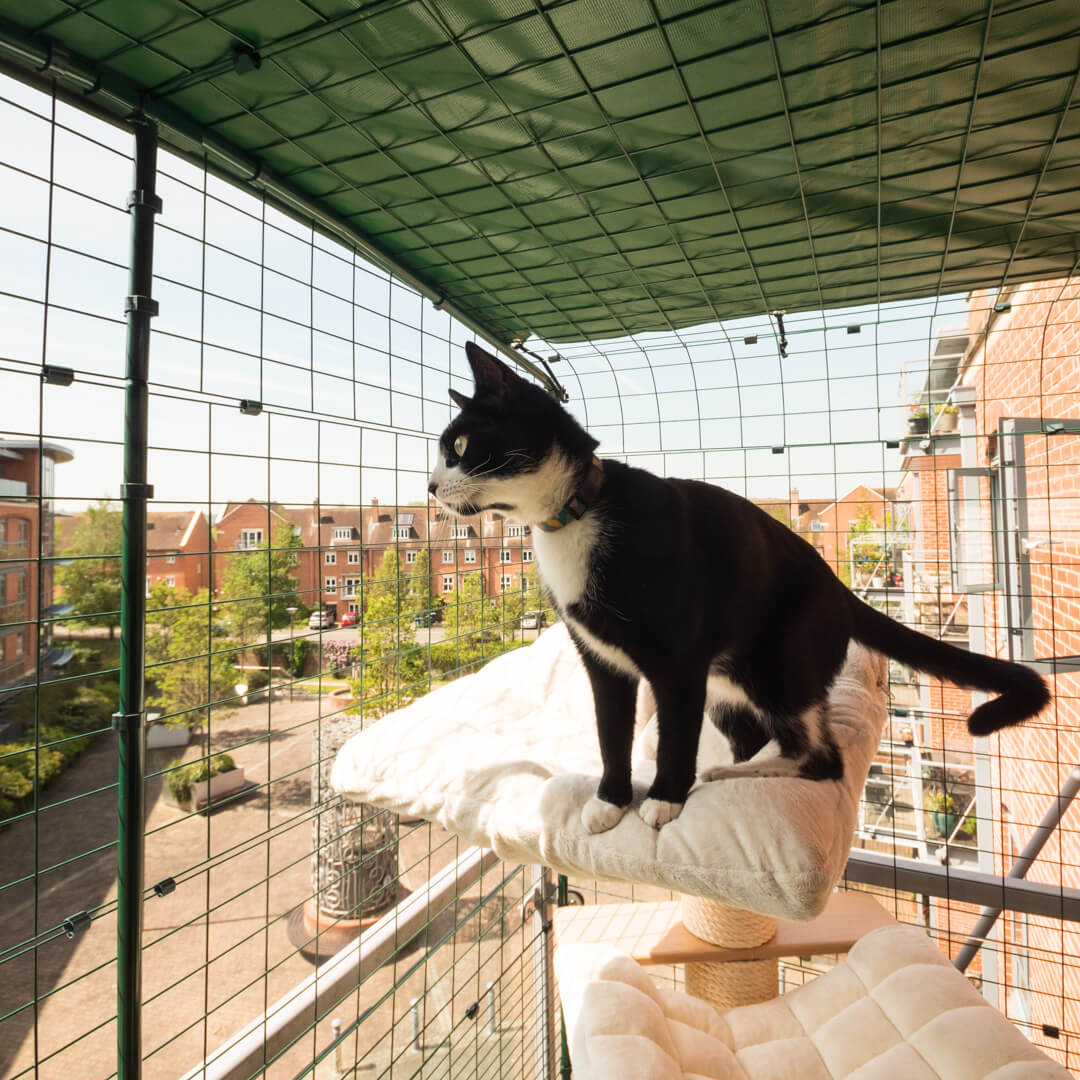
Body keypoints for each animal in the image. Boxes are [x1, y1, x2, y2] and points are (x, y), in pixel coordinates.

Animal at [425, 341, 1049, 829]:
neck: (576, 514)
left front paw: (663, 799)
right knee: (763, 734)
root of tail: (840, 590)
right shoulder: (602, 660)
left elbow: (676, 731)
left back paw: (731, 772)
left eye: (459, 447)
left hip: (776, 664)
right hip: (728, 685)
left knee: (822, 757)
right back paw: (737, 766)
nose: (429, 487)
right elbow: (610, 729)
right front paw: (609, 801)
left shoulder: (677, 660)